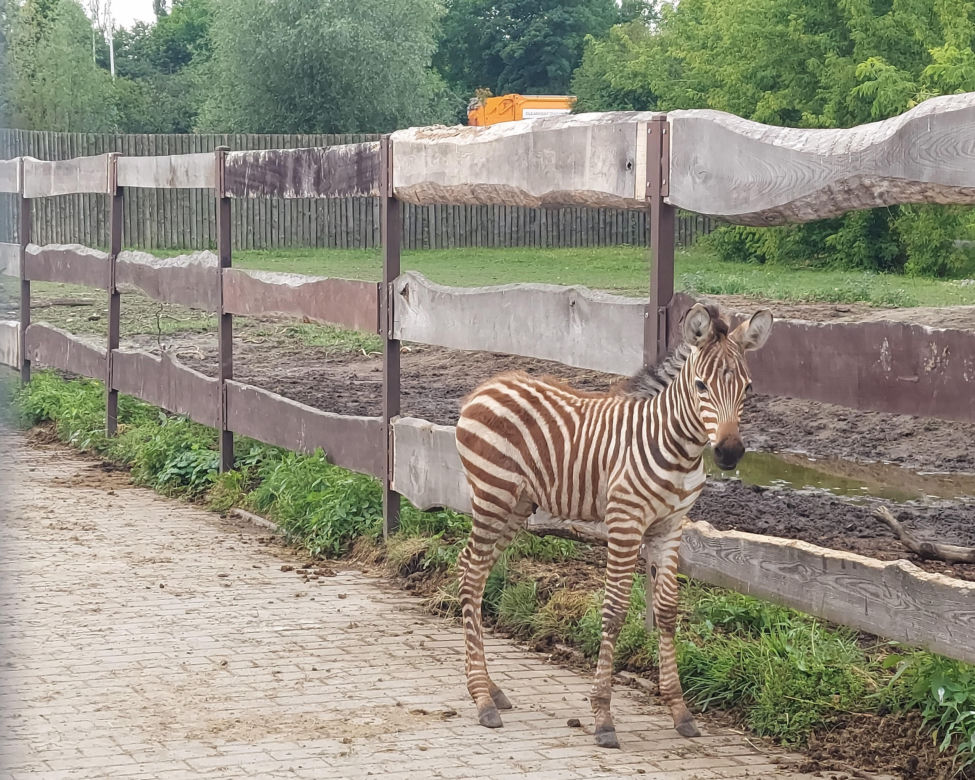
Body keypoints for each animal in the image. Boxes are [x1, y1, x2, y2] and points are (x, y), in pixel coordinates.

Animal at [454, 303, 773, 748]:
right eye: (700, 385)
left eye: (747, 387)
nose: (729, 454)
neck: (676, 447)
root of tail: (488, 385)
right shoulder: (626, 523)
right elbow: (615, 610)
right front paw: (603, 716)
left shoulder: (671, 526)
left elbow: (667, 609)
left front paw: (679, 710)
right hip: (492, 496)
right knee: (470, 575)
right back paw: (482, 698)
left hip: (516, 505)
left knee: (473, 570)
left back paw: (491, 689)